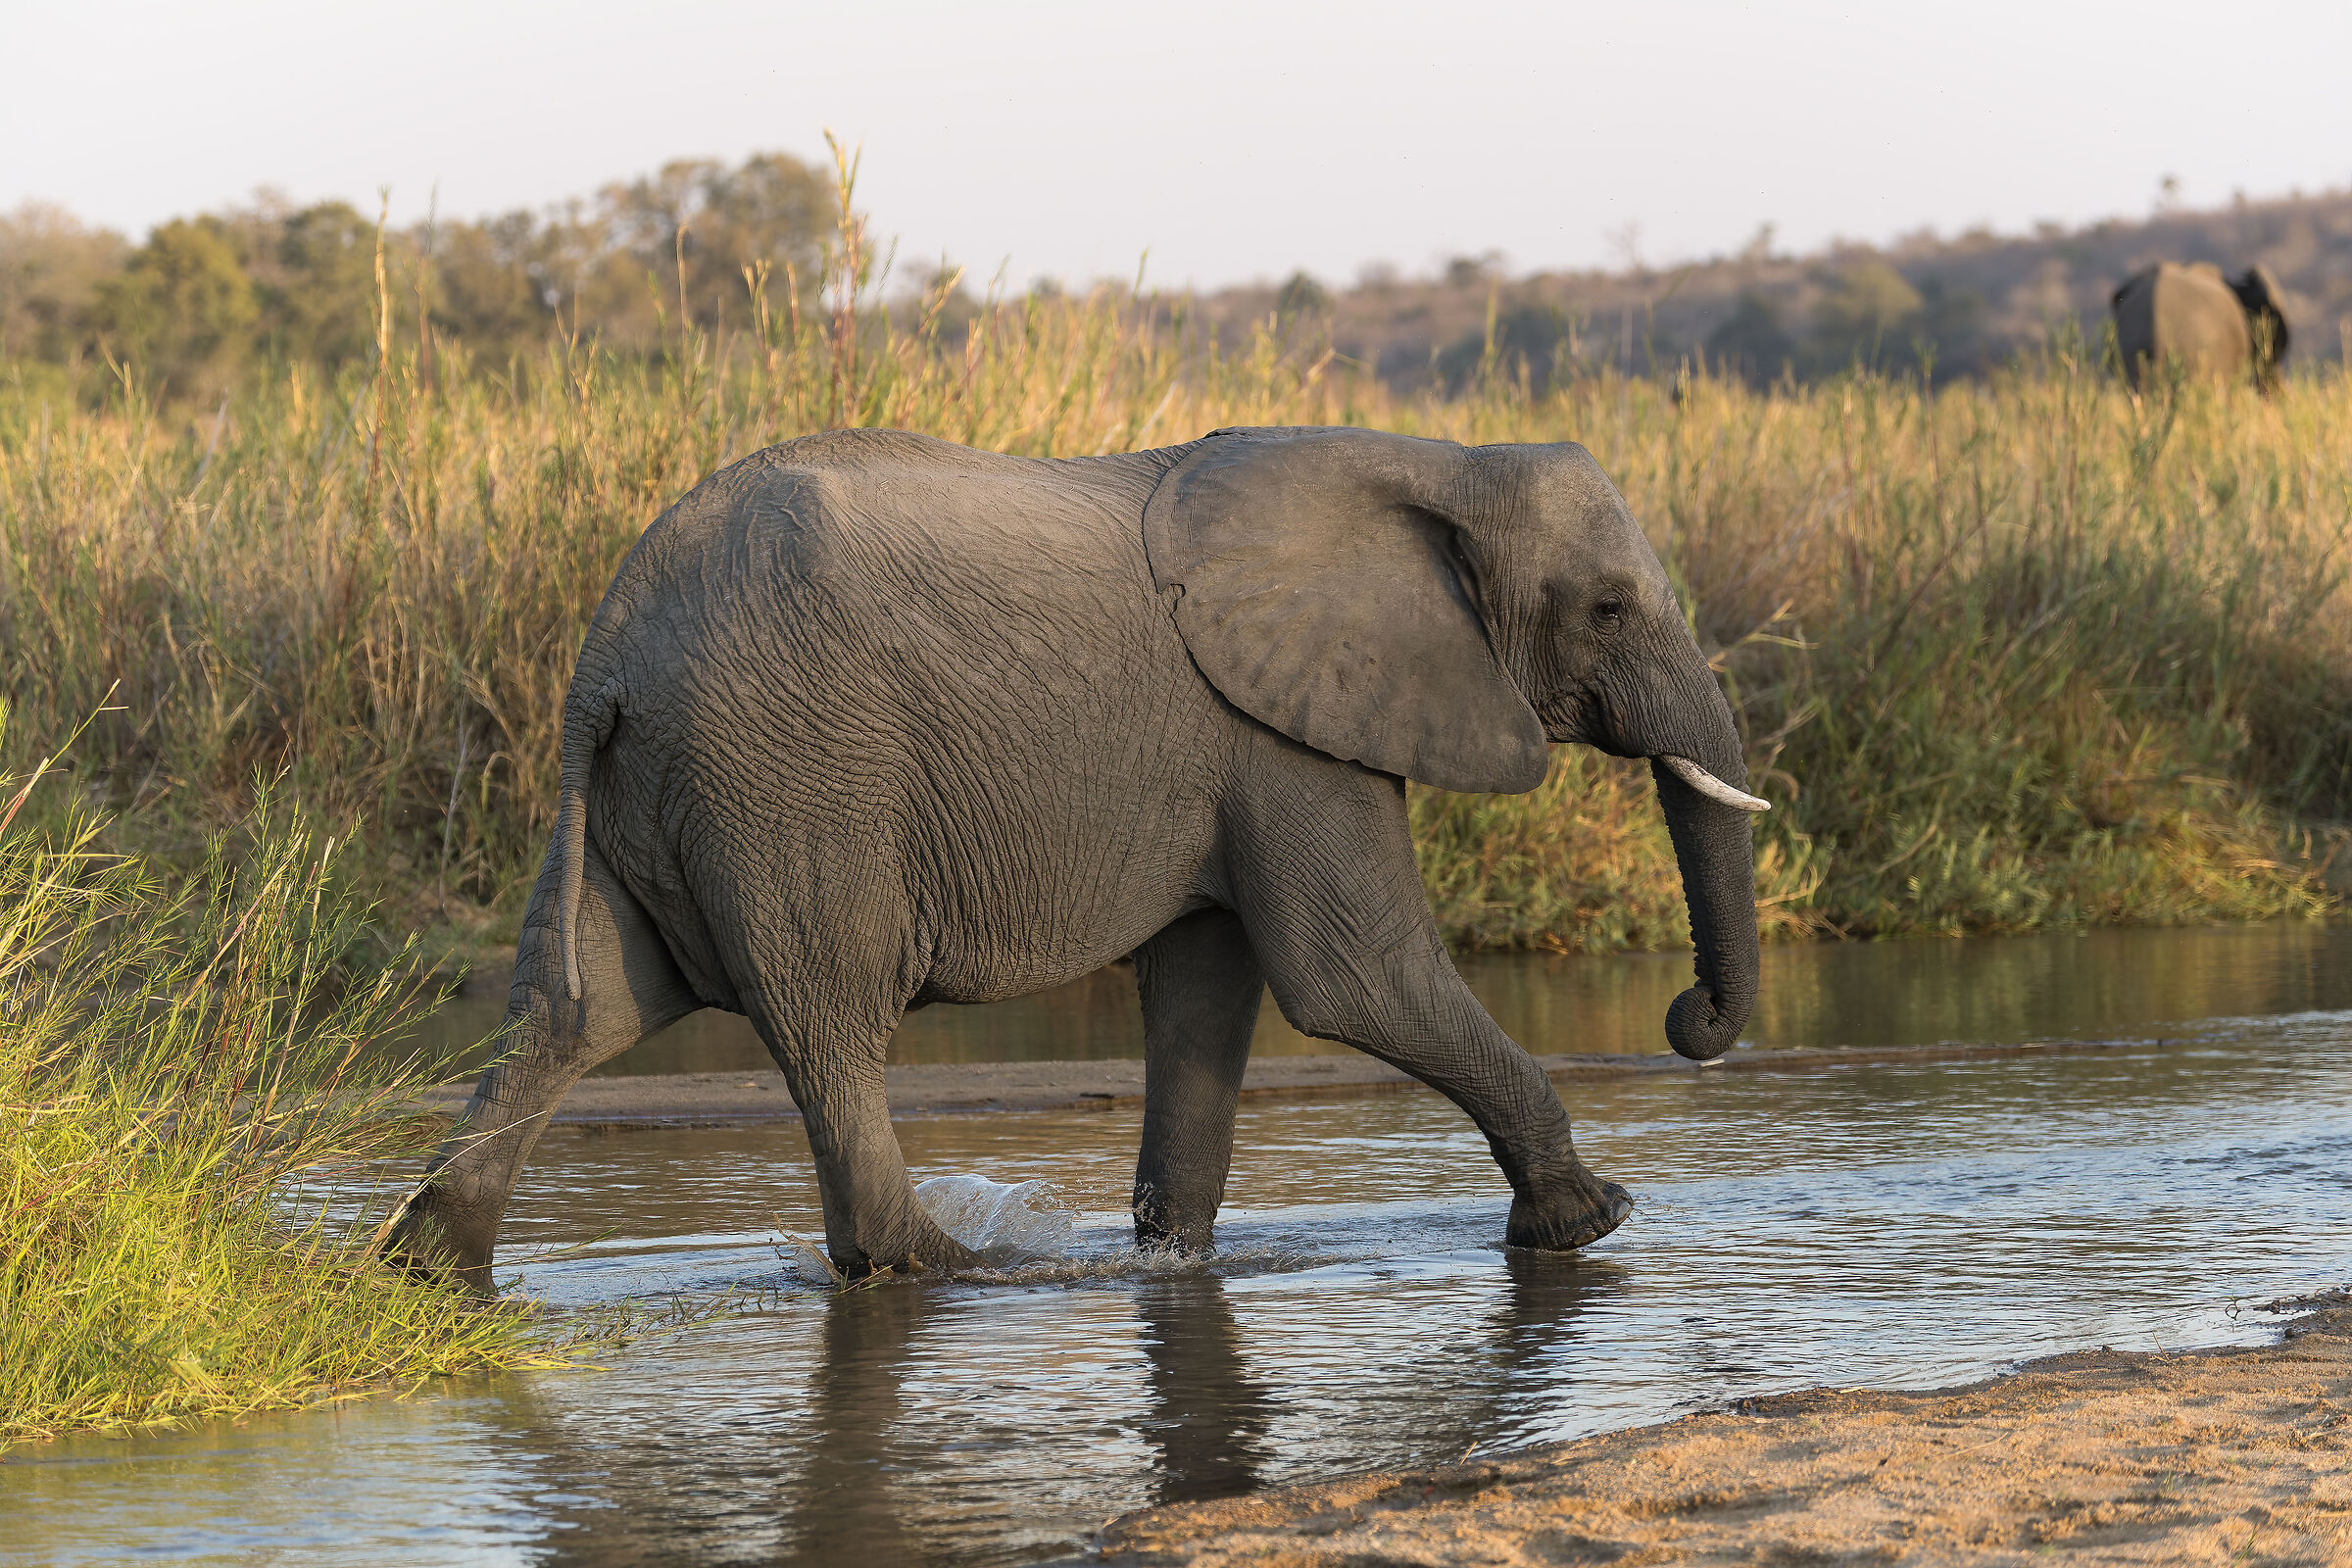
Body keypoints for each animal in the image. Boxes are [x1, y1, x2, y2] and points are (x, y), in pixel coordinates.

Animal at [387, 425, 1766, 1289]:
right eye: (1607, 608)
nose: (1688, 1016)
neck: (1432, 460)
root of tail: (606, 651)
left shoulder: (1245, 738)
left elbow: (1211, 989)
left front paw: (1172, 1260)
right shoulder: (1284, 729)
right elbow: (1352, 977)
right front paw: (1590, 1222)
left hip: (658, 791)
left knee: (572, 1009)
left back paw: (429, 1267)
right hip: (786, 777)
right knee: (831, 1018)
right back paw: (951, 1269)